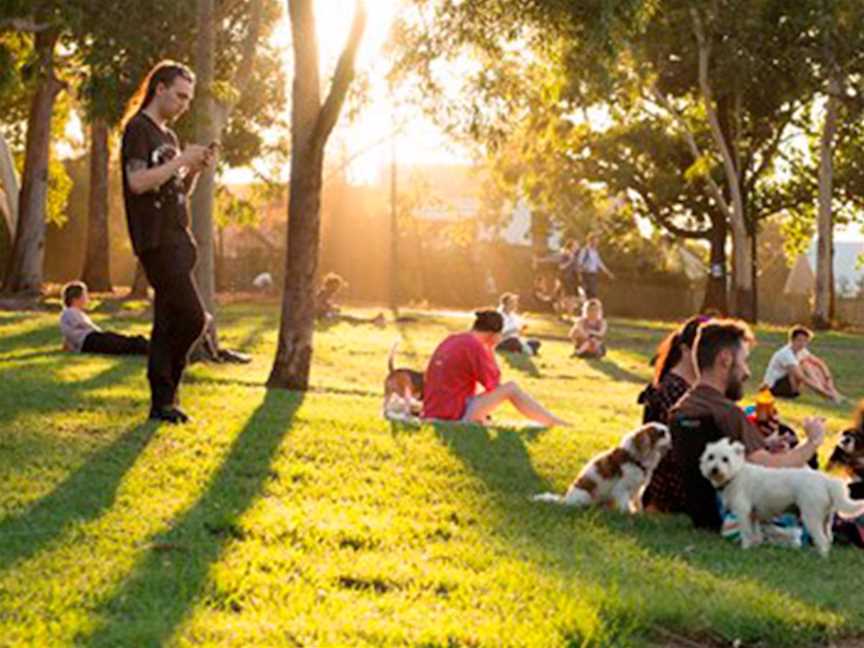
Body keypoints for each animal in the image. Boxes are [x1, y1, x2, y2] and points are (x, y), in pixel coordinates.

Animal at [528, 422, 672, 512]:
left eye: (667, 431)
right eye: (662, 433)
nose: (671, 435)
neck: (637, 458)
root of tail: (566, 499)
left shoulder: (637, 489)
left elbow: (638, 502)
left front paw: (640, 514)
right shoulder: (622, 488)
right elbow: (625, 504)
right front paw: (629, 514)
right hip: (585, 496)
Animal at [700, 438, 864, 560]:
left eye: (725, 459)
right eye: (710, 457)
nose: (714, 469)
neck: (736, 474)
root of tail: (826, 481)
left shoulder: (743, 512)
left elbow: (746, 532)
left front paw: (745, 548)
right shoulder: (753, 515)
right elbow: (755, 533)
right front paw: (755, 546)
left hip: (811, 517)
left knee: (822, 541)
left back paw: (820, 558)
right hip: (826, 520)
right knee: (829, 539)